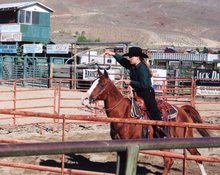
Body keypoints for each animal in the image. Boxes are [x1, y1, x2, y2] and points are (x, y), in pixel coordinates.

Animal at [81, 69, 211, 174]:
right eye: (93, 82)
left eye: (102, 84)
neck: (123, 113)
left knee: (183, 158)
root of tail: (182, 110)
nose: (85, 99)